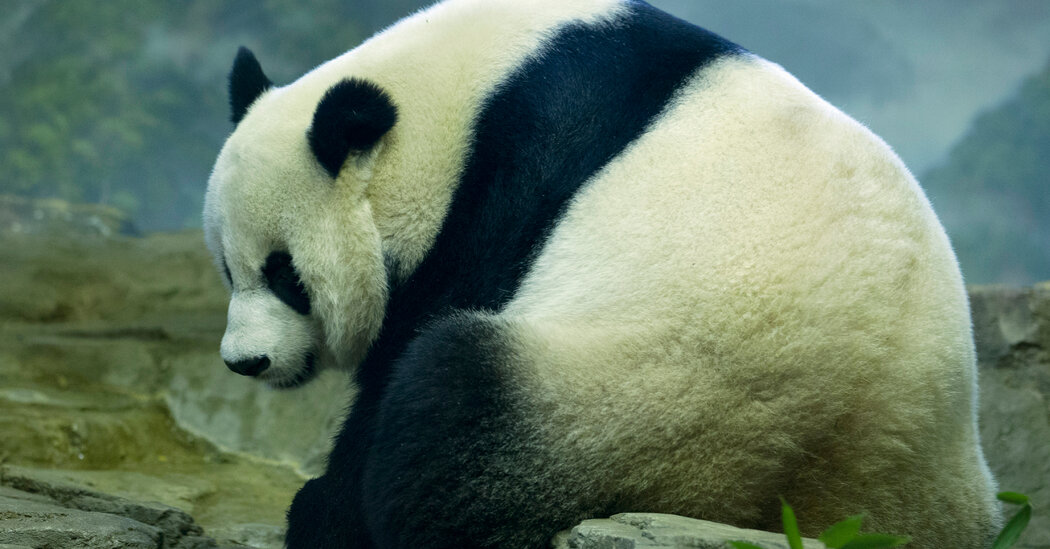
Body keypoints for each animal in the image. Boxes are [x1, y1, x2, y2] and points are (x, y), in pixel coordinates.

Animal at [203, 0, 1001, 547]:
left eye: (287, 275)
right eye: (229, 270)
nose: (246, 361)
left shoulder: (512, 179)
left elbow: (409, 349)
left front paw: (322, 506)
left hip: (652, 408)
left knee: (455, 405)